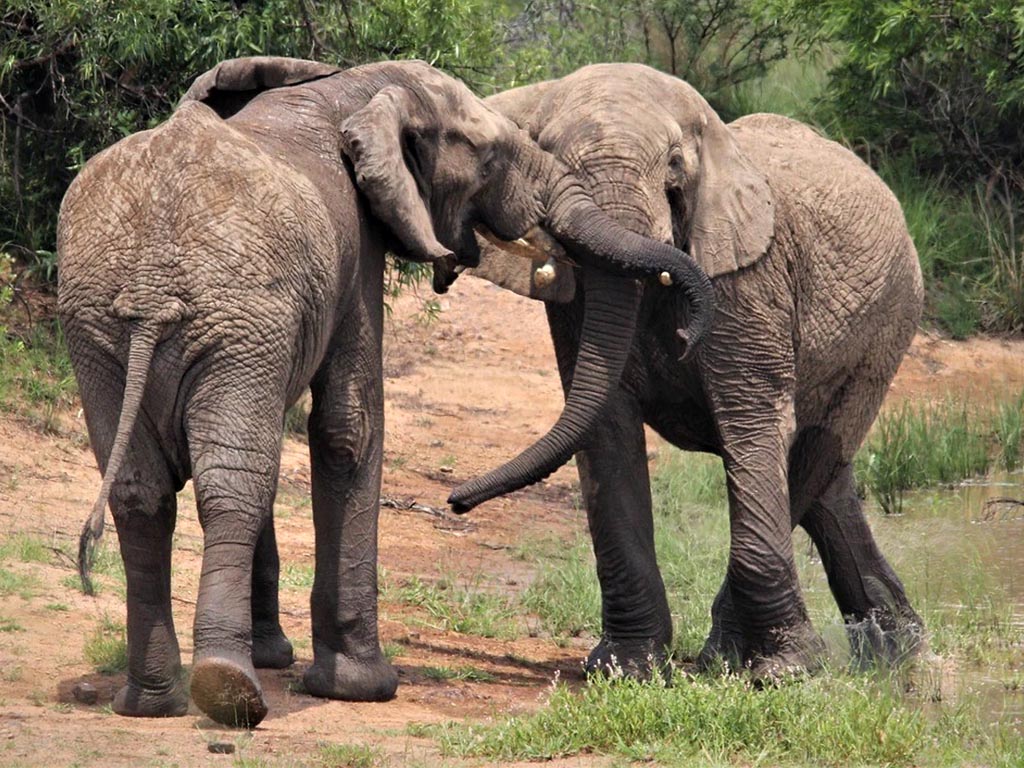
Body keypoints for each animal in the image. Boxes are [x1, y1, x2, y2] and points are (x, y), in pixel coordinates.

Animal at [57, 57, 714, 727]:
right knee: (231, 485)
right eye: (489, 155)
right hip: (228, 319)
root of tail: (151, 288)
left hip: (99, 328)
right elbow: (350, 427)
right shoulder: (358, 243)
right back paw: (228, 693)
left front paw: (280, 660)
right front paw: (362, 687)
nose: (455, 502)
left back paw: (151, 702)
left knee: (141, 490)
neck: (360, 85)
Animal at [448, 63, 925, 681]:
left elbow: (752, 427)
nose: (455, 501)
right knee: (826, 482)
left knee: (814, 453)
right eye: (547, 157)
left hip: (887, 329)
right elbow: (606, 431)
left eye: (674, 165)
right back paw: (898, 653)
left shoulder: (749, 283)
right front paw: (625, 668)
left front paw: (786, 673)